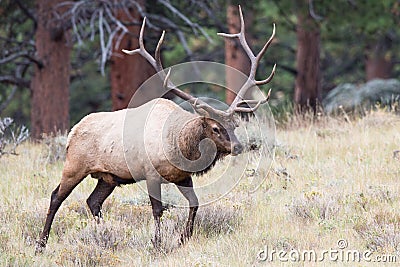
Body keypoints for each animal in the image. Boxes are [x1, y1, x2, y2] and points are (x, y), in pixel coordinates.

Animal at [35, 5, 276, 254]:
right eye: (216, 128)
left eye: (235, 125)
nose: (238, 147)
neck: (180, 146)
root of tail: (71, 133)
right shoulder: (151, 174)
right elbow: (158, 210)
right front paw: (157, 243)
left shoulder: (182, 176)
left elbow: (194, 203)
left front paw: (184, 238)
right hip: (75, 165)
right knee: (56, 197)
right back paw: (41, 244)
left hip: (108, 177)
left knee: (93, 201)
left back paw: (104, 234)